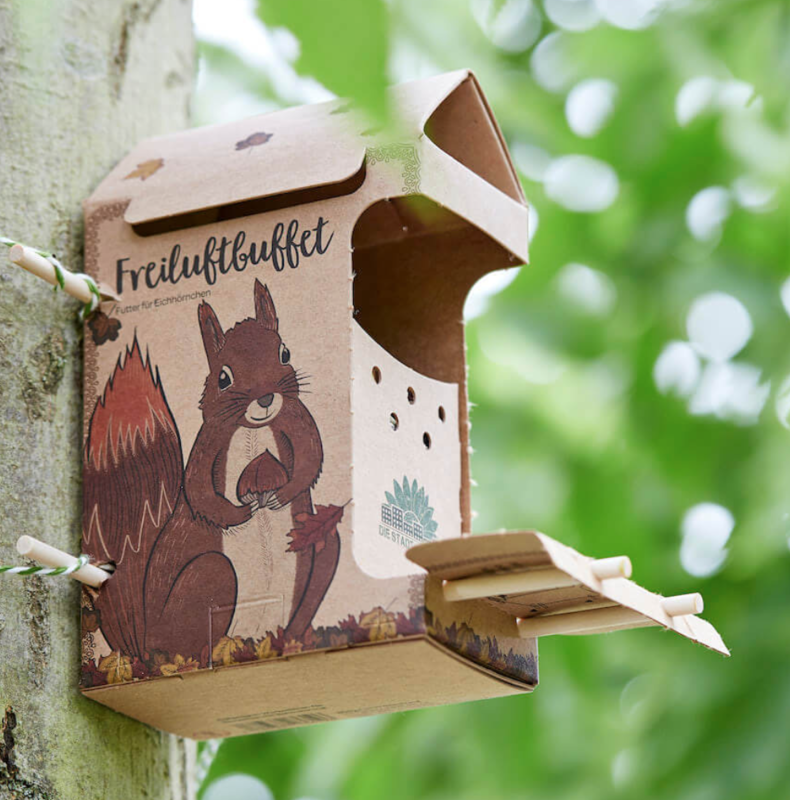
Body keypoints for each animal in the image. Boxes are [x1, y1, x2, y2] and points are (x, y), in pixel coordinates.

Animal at [83, 279, 339, 663]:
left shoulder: (296, 416)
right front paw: (241, 512)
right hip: (211, 575)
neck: (251, 427)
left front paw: (280, 496)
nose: (266, 398)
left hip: (322, 547)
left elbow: (311, 456)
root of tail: (143, 648)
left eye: (285, 354)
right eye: (223, 377)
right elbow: (198, 488)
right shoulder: (208, 441)